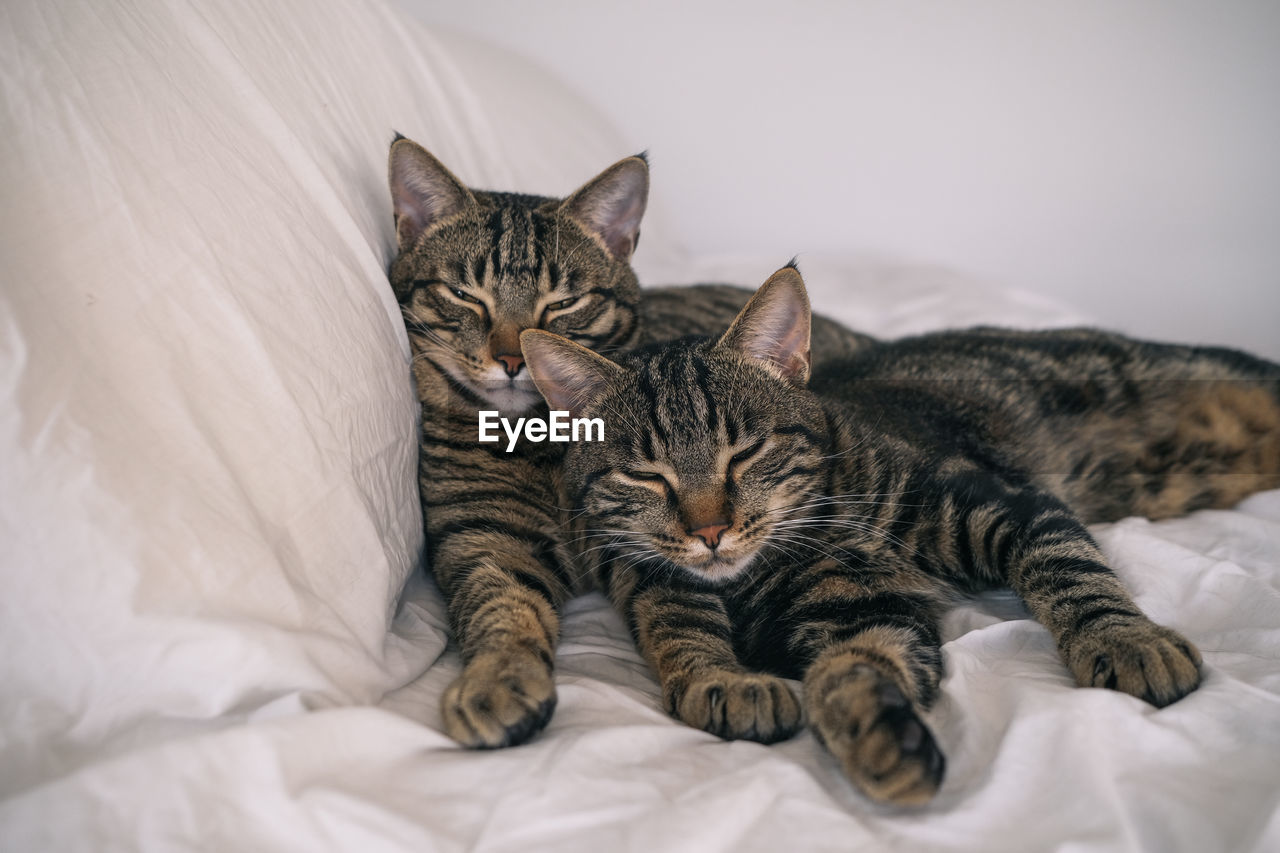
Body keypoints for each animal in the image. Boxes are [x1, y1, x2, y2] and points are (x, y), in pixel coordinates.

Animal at [384, 133, 875, 742]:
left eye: (564, 303)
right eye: (463, 294)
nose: (514, 359)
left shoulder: (651, 552)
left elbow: (683, 617)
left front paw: (721, 680)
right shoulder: (486, 536)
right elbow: (502, 606)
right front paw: (497, 677)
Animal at [519, 266, 1280, 804]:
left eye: (746, 453)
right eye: (646, 476)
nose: (710, 529)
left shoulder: (1011, 506)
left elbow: (1071, 573)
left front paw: (1127, 640)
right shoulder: (861, 608)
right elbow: (848, 665)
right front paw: (874, 737)